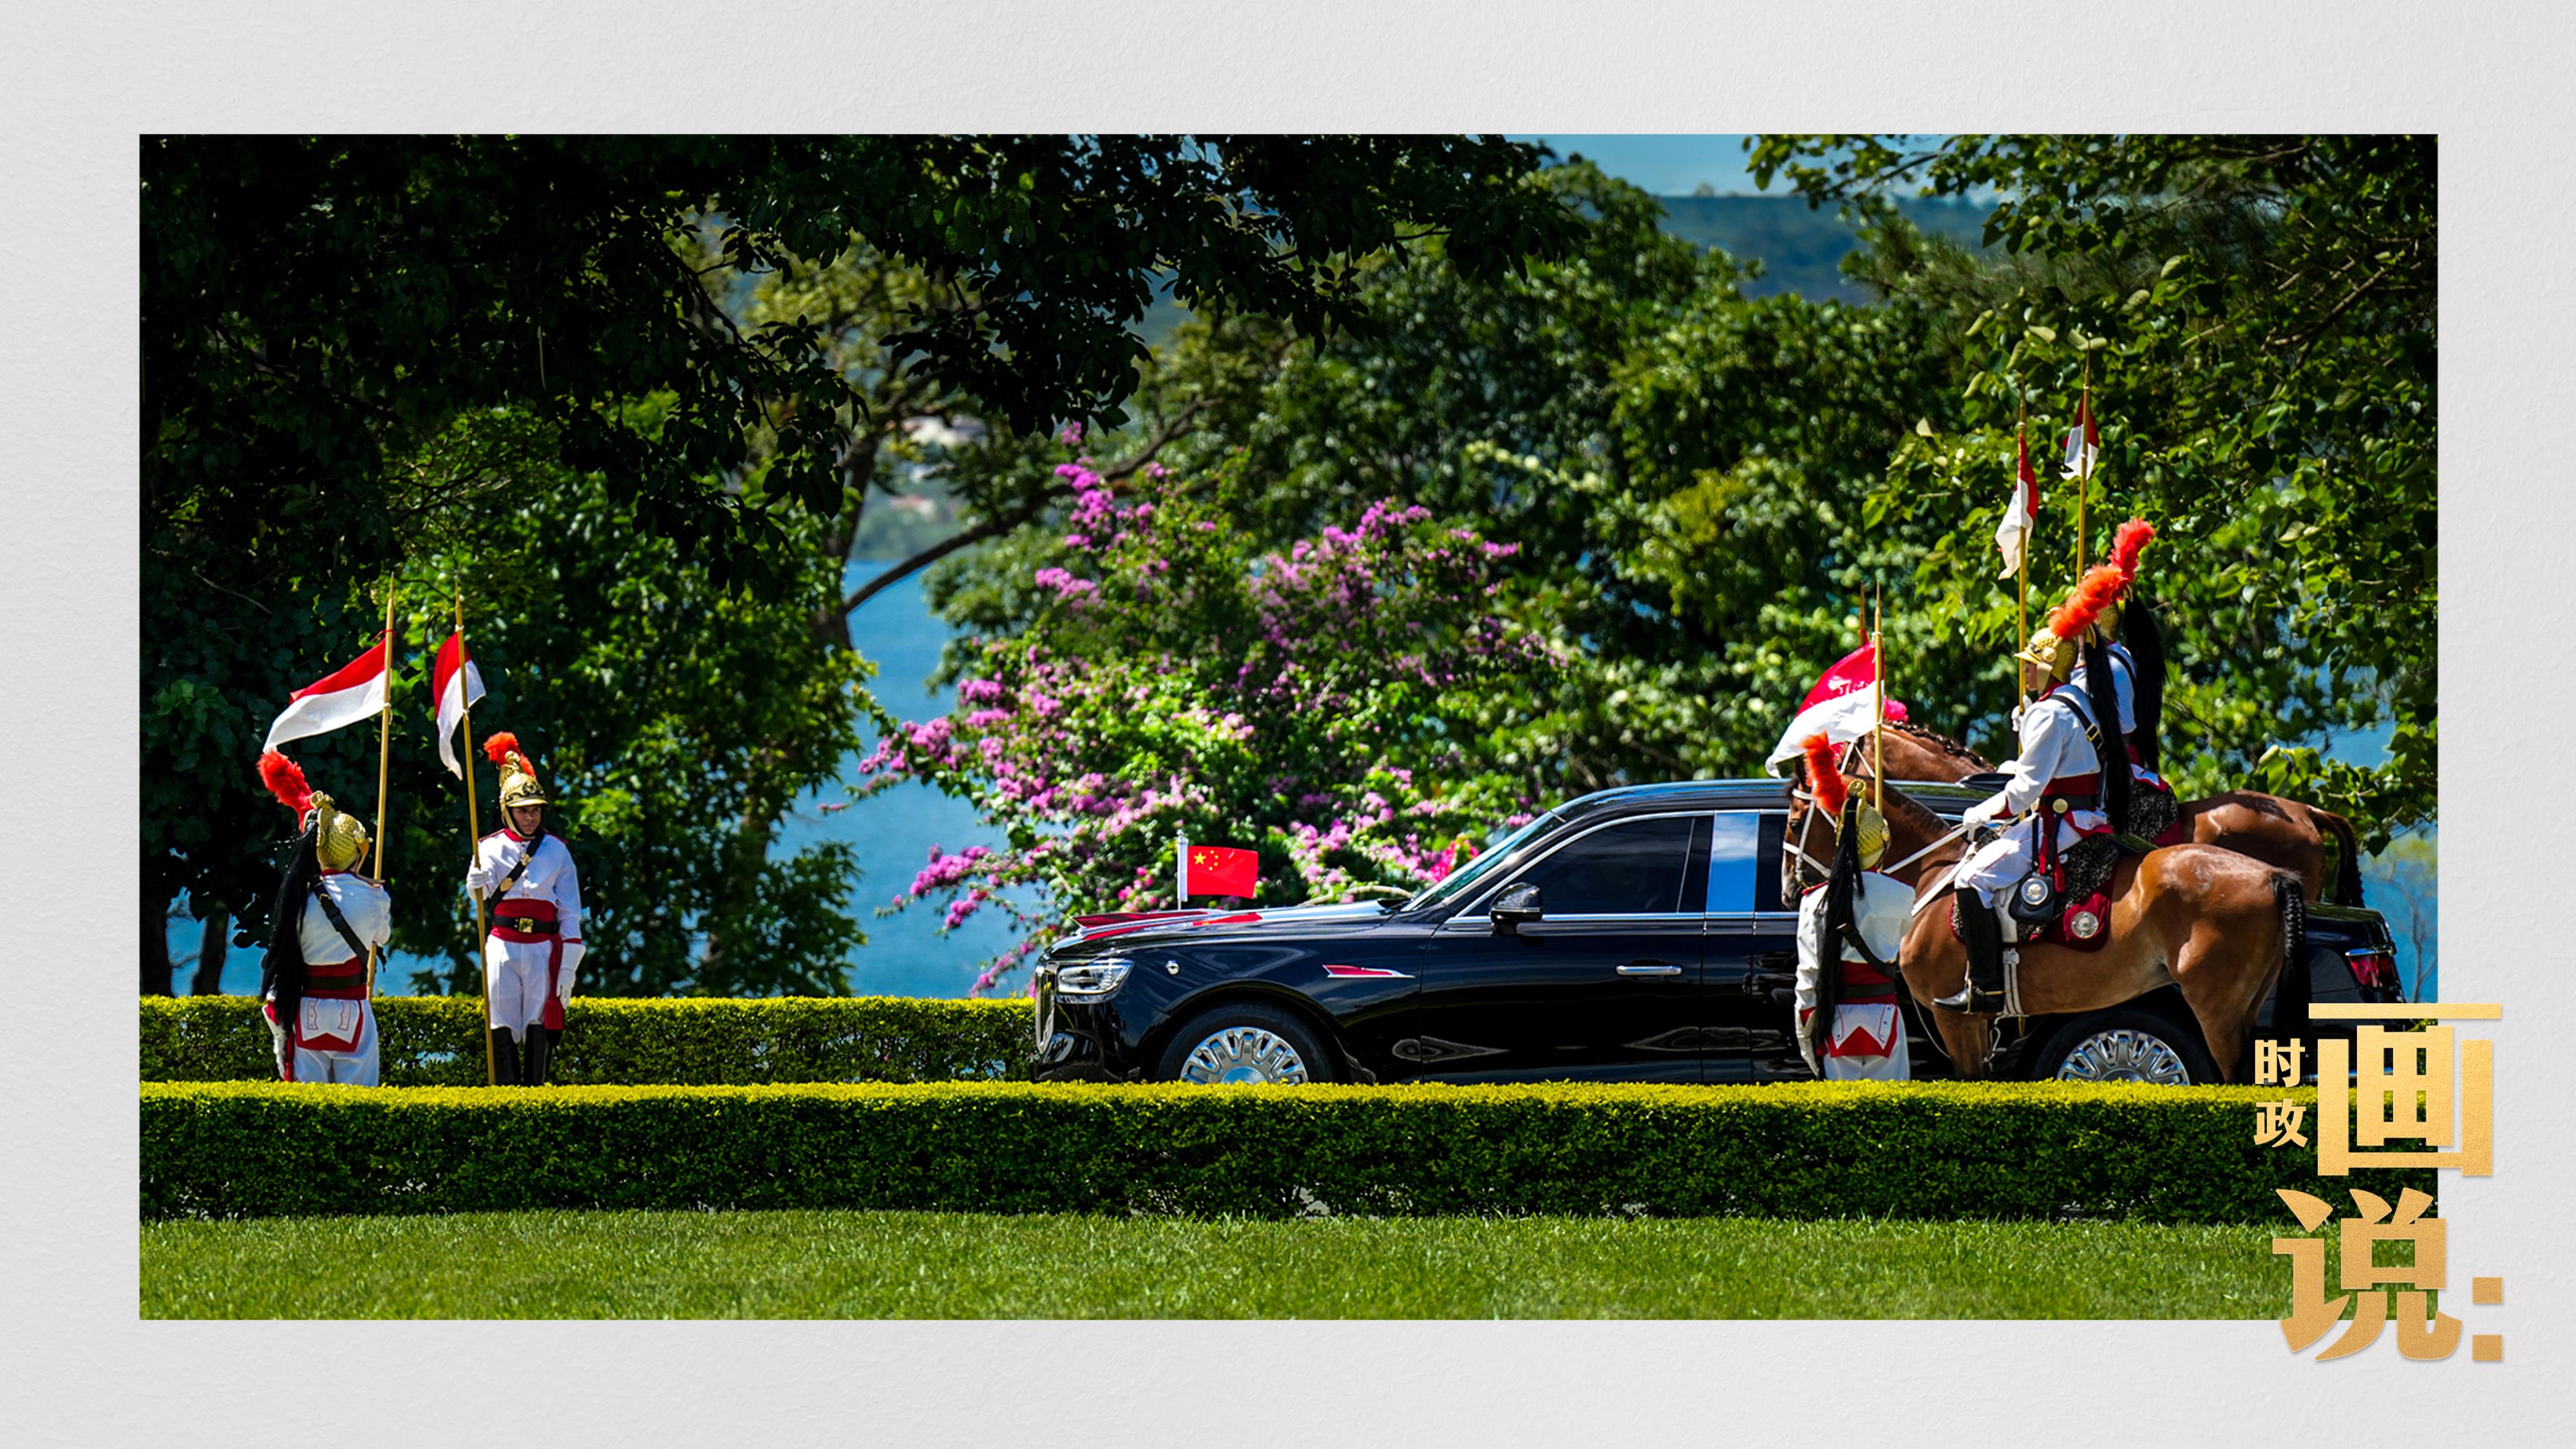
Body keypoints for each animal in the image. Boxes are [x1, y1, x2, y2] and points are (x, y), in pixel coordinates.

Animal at [1785, 766, 2305, 1083]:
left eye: (1793, 820)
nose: (1790, 889)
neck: (1932, 873)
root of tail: (2271, 874)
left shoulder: (1955, 1016)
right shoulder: (1979, 1022)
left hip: (2215, 1008)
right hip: (2242, 1008)